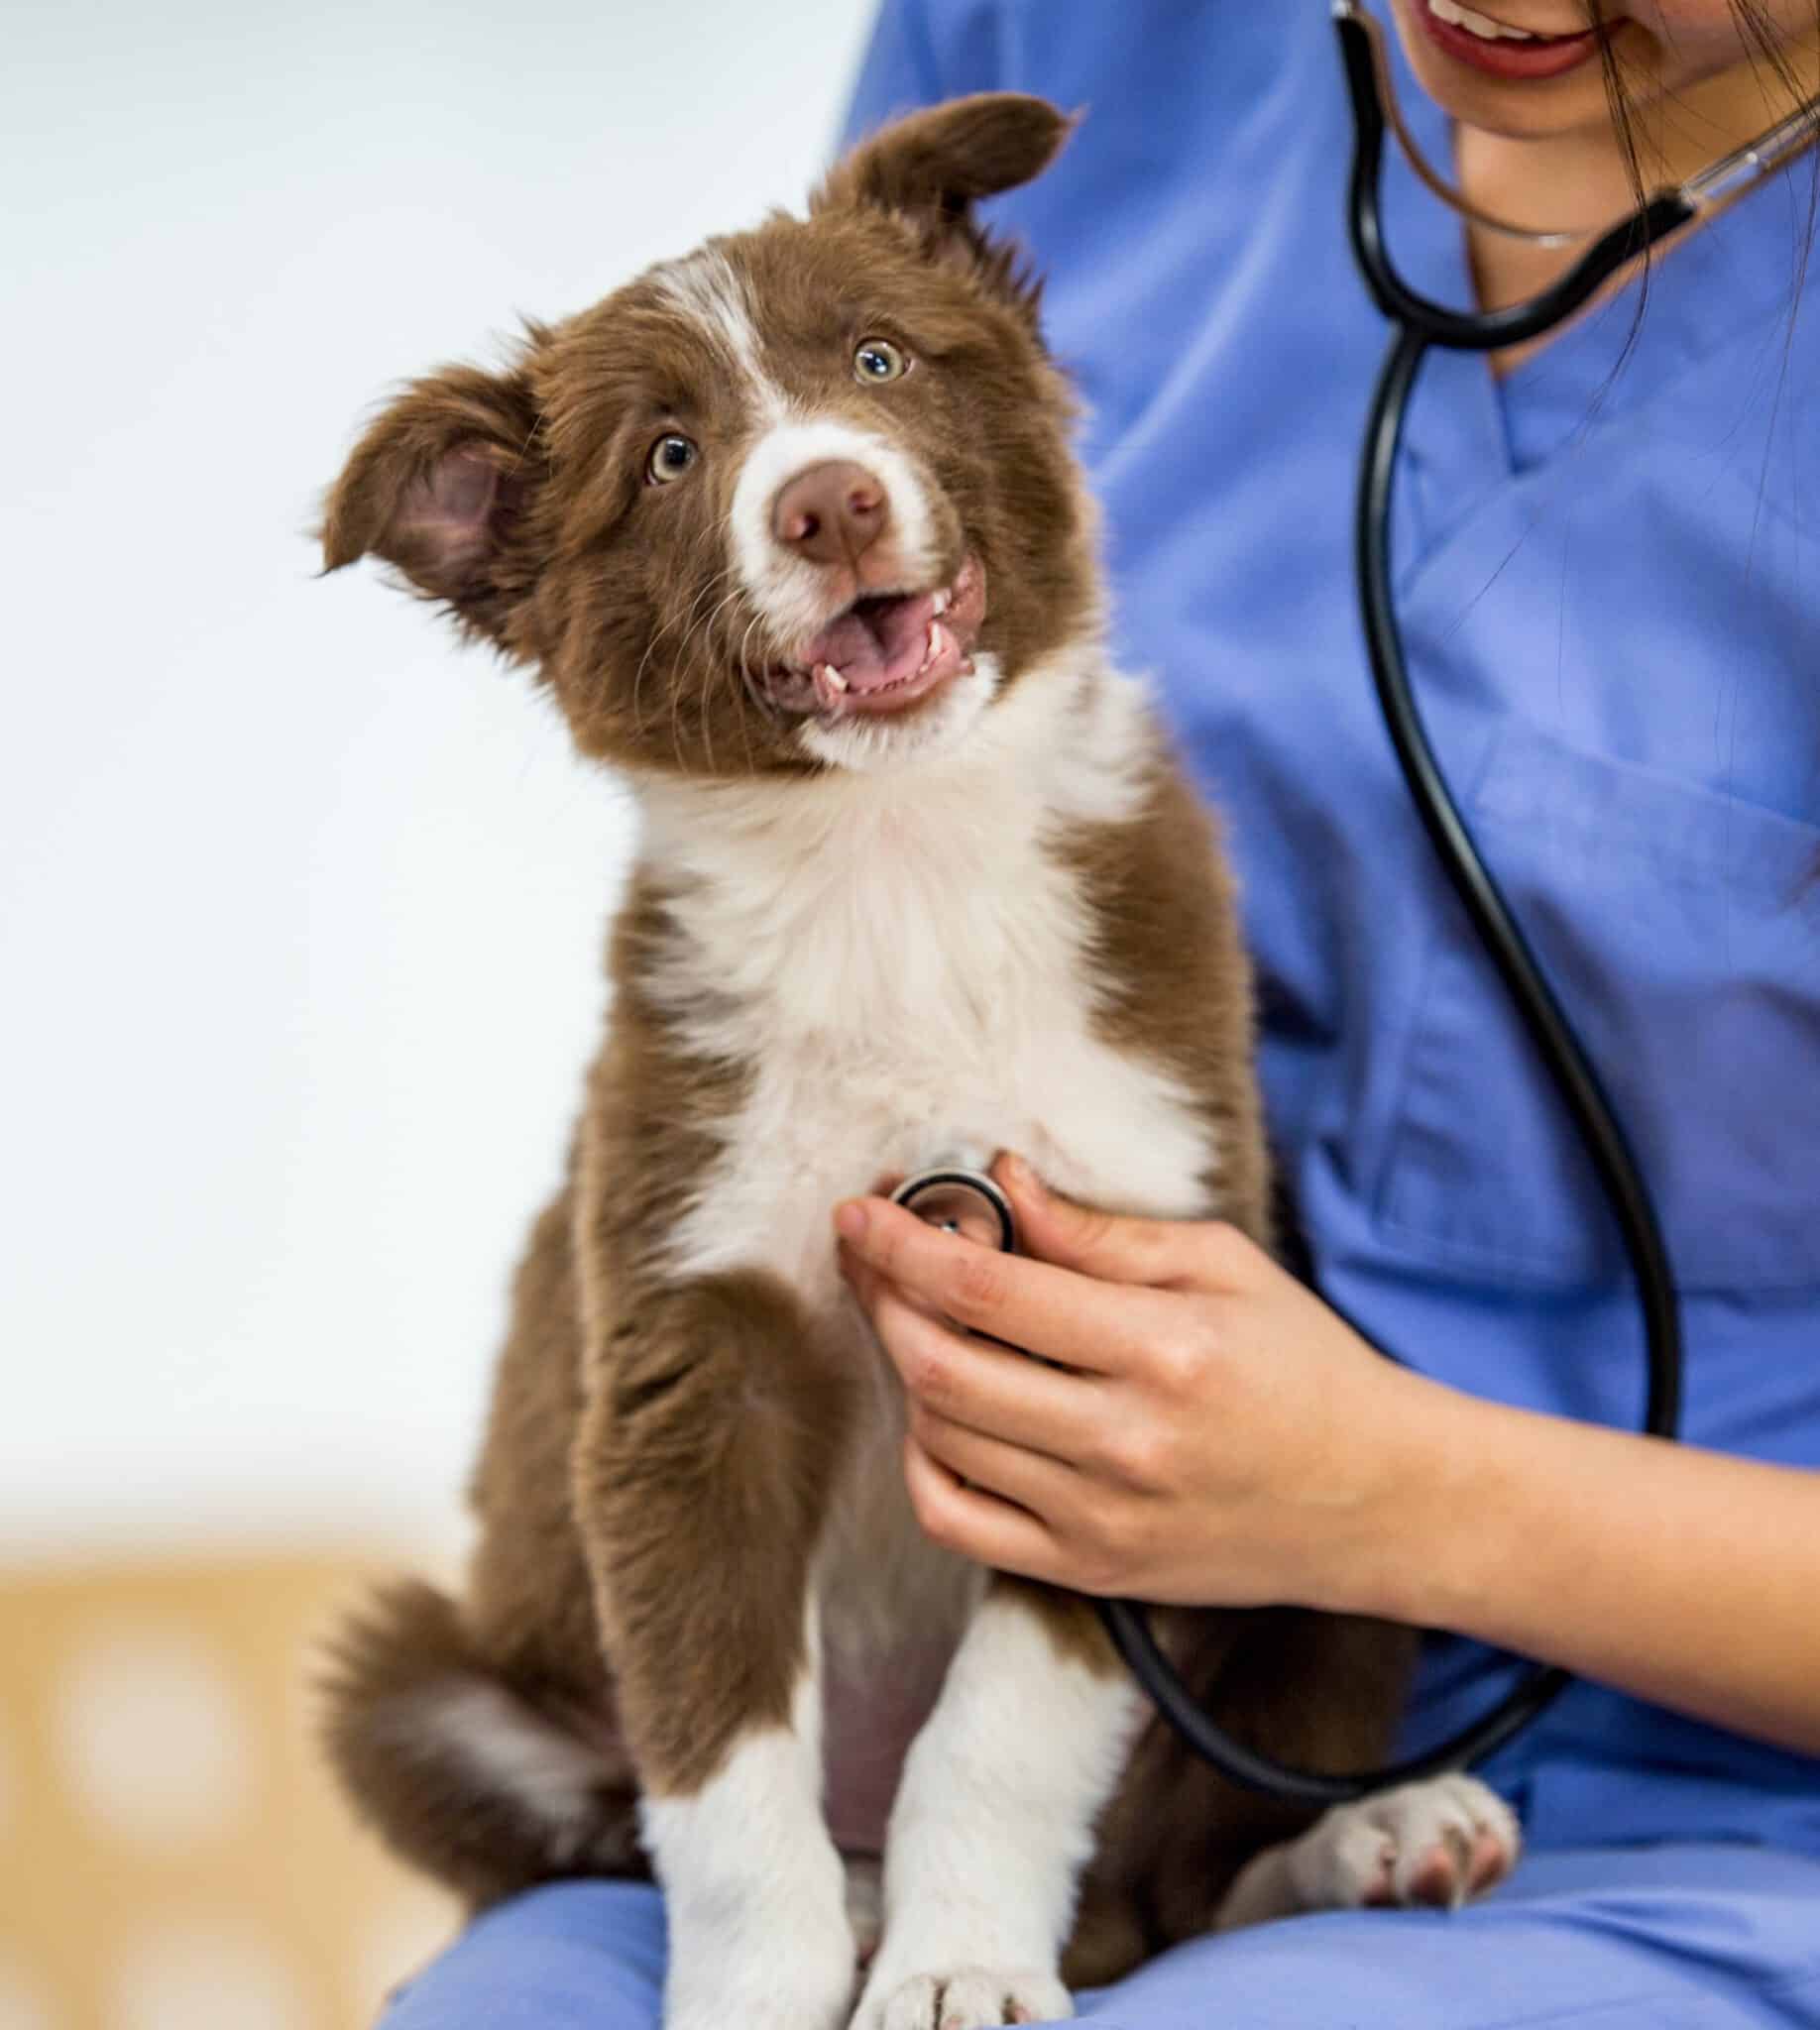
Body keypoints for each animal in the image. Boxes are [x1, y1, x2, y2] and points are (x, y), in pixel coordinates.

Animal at [316, 91, 1519, 2030]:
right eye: (670, 457)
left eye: (878, 361)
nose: (829, 496)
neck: (894, 872)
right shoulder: (694, 1346)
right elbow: (722, 1763)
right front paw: (764, 1990)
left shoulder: (1111, 1329)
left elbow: (1007, 1727)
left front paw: (964, 1967)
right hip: (419, 1681)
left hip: (1346, 1479)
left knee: (1186, 1876)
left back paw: (1374, 1838)